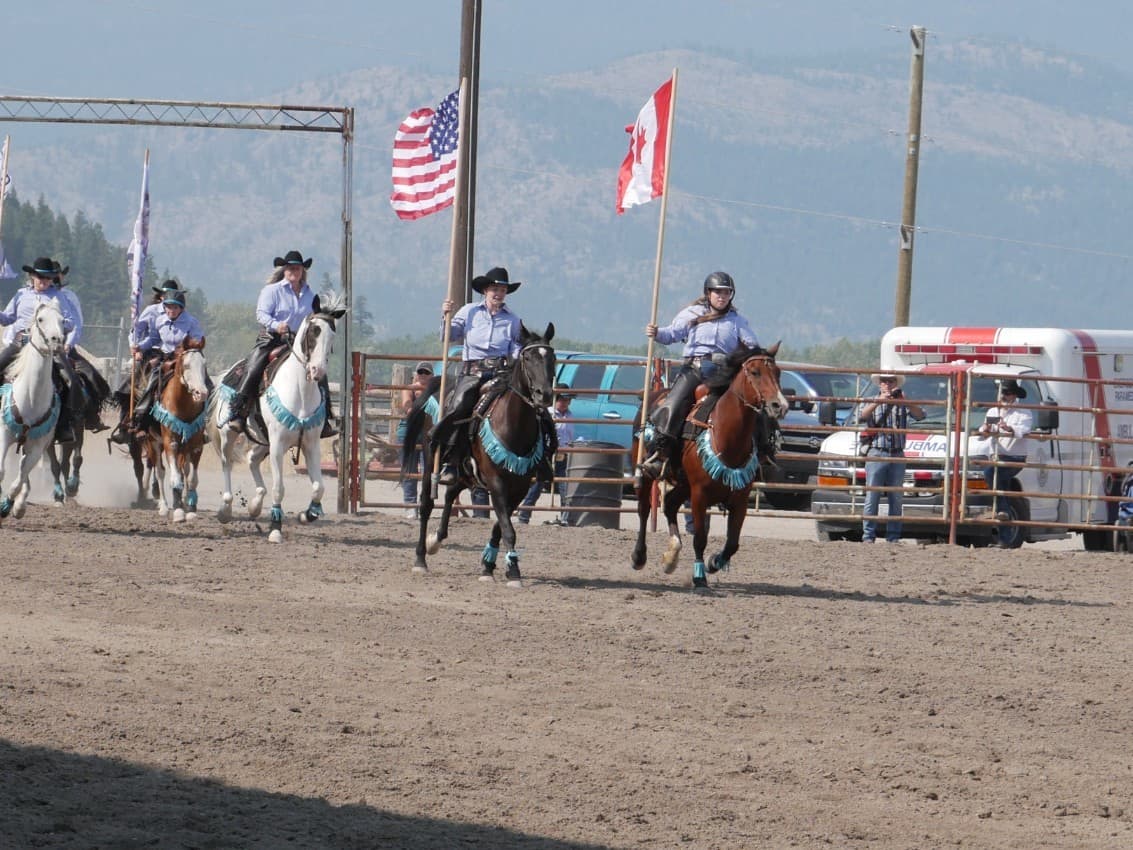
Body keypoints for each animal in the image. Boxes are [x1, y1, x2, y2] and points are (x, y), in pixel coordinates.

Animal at [0, 303, 67, 523]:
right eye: (40, 319)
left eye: (63, 320)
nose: (57, 340)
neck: (30, 397)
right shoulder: (3, 436)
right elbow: (2, 471)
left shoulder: (37, 447)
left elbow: (18, 480)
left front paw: (10, 506)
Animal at [138, 340, 210, 525]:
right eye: (186, 365)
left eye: (204, 365)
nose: (201, 393)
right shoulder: (171, 443)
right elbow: (174, 477)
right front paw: (178, 511)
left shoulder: (196, 445)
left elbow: (191, 478)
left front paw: (190, 509)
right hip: (154, 443)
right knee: (160, 472)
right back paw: (163, 506)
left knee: (183, 470)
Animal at [203, 292, 344, 546]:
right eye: (313, 331)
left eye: (332, 334)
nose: (317, 371)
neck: (300, 391)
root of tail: (228, 372)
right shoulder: (278, 444)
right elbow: (279, 487)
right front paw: (276, 529)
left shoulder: (311, 444)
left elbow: (318, 487)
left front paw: (307, 515)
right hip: (230, 434)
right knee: (227, 463)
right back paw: (225, 510)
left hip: (263, 441)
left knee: (251, 459)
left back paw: (255, 505)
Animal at [401, 321, 555, 589]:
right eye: (528, 357)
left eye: (552, 357)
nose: (543, 394)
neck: (512, 424)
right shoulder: (497, 482)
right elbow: (508, 529)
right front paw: (514, 572)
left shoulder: (520, 486)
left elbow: (499, 527)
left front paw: (489, 565)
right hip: (431, 458)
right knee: (427, 504)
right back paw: (421, 558)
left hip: (465, 471)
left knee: (451, 492)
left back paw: (437, 539)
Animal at [629, 342, 788, 589]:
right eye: (755, 372)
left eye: (778, 373)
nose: (779, 405)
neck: (725, 435)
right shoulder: (699, 495)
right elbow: (700, 538)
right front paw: (699, 576)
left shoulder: (740, 499)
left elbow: (733, 543)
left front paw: (714, 563)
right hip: (648, 474)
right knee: (644, 509)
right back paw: (639, 556)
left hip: (683, 483)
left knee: (670, 505)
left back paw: (671, 556)